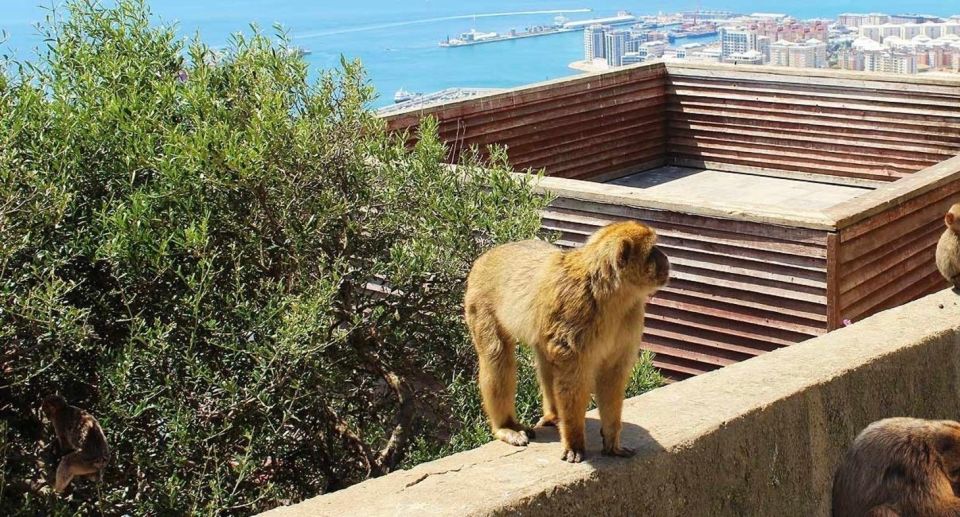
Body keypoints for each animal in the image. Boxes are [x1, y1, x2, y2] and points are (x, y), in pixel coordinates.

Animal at [464, 220, 668, 462]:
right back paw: (506, 426)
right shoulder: (576, 312)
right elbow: (573, 378)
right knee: (497, 356)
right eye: (652, 250)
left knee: (545, 363)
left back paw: (553, 416)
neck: (613, 294)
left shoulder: (631, 316)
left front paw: (612, 442)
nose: (666, 258)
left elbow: (611, 375)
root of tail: (486, 255)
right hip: (478, 301)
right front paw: (574, 441)